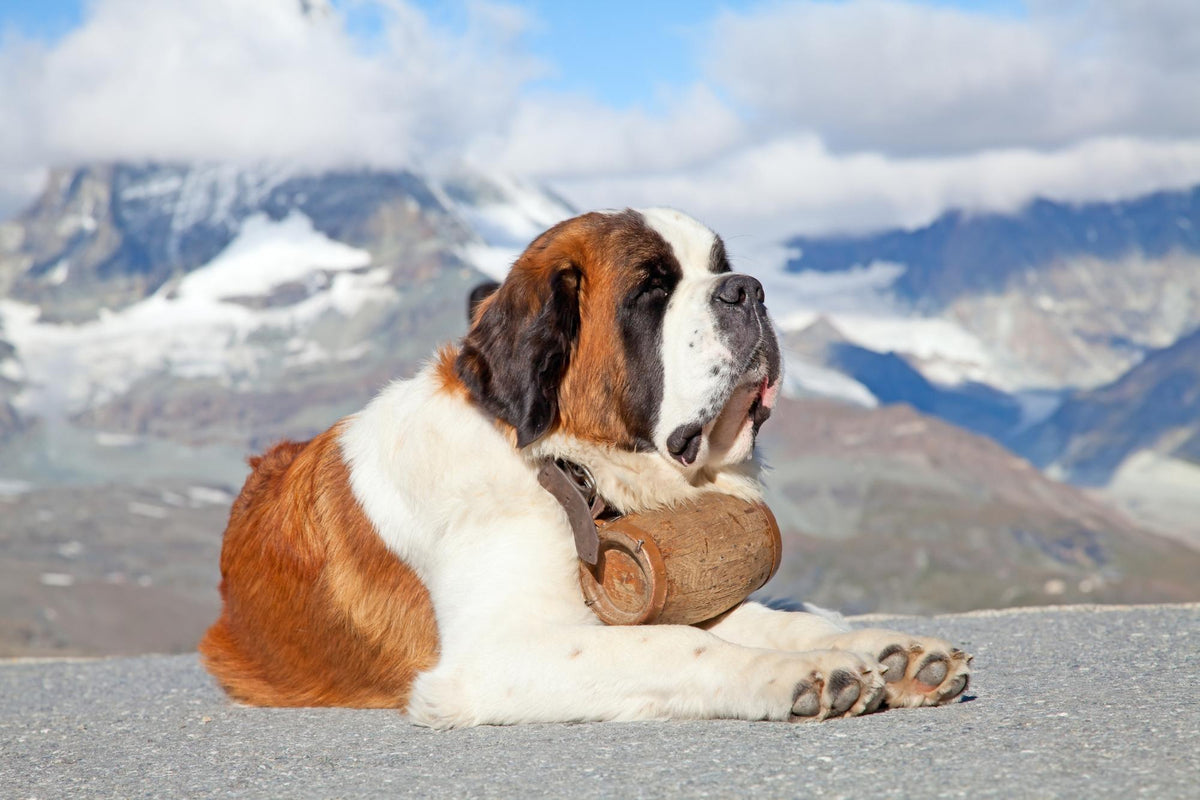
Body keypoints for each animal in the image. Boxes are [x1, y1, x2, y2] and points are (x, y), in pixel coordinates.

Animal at [201, 206, 969, 724]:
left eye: (721, 265)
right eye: (652, 289)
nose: (747, 288)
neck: (567, 468)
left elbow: (756, 618)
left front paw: (887, 653)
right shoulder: (496, 655)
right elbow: (672, 645)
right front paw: (802, 674)